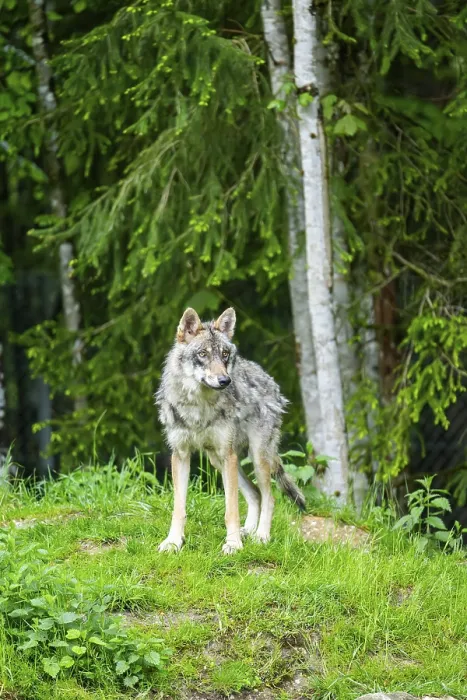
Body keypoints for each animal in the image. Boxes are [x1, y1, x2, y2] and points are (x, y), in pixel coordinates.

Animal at [155, 307, 305, 554]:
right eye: (203, 354)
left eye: (225, 354)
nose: (225, 380)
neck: (199, 406)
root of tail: (270, 380)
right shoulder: (181, 455)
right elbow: (179, 508)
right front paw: (173, 542)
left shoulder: (229, 455)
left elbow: (231, 509)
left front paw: (233, 544)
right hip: (218, 461)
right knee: (255, 494)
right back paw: (249, 532)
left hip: (256, 458)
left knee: (269, 497)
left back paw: (261, 536)